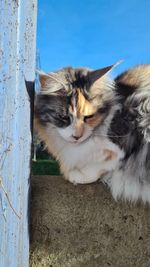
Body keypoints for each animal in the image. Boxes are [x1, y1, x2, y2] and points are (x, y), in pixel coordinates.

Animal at [34, 64, 150, 203]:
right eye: (64, 117)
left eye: (88, 117)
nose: (77, 136)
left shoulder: (126, 143)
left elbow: (104, 164)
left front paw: (74, 175)